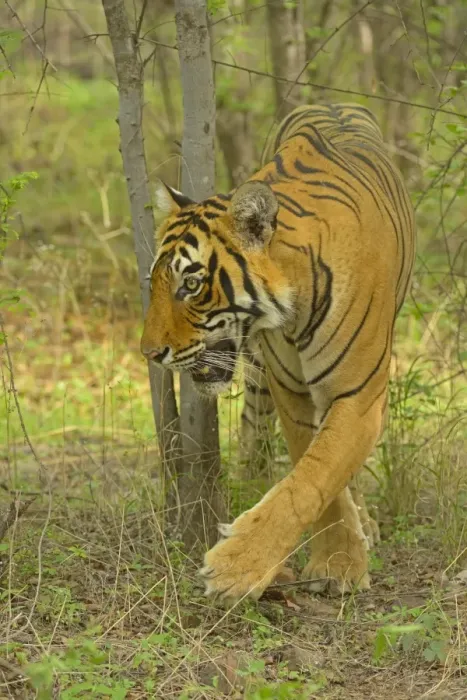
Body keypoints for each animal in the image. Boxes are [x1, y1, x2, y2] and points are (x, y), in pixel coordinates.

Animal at [140, 102, 415, 600]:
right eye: (155, 283)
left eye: (191, 284)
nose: (149, 352)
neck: (294, 303)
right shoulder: (292, 392)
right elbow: (314, 472)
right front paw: (338, 558)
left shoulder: (357, 395)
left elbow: (316, 477)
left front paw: (236, 567)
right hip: (259, 374)